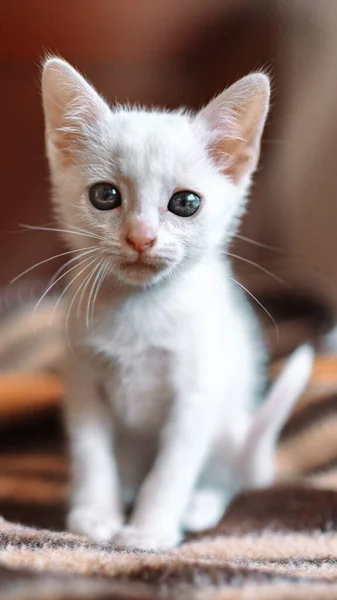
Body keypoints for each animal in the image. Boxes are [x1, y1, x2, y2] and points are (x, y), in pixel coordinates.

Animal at [41, 58, 312, 552]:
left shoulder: (197, 392)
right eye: (105, 196)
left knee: (228, 474)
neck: (139, 308)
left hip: (233, 410)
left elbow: (172, 468)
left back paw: (201, 503)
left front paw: (148, 531)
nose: (141, 237)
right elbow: (91, 454)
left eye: (185, 203)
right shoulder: (81, 379)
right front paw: (95, 515)